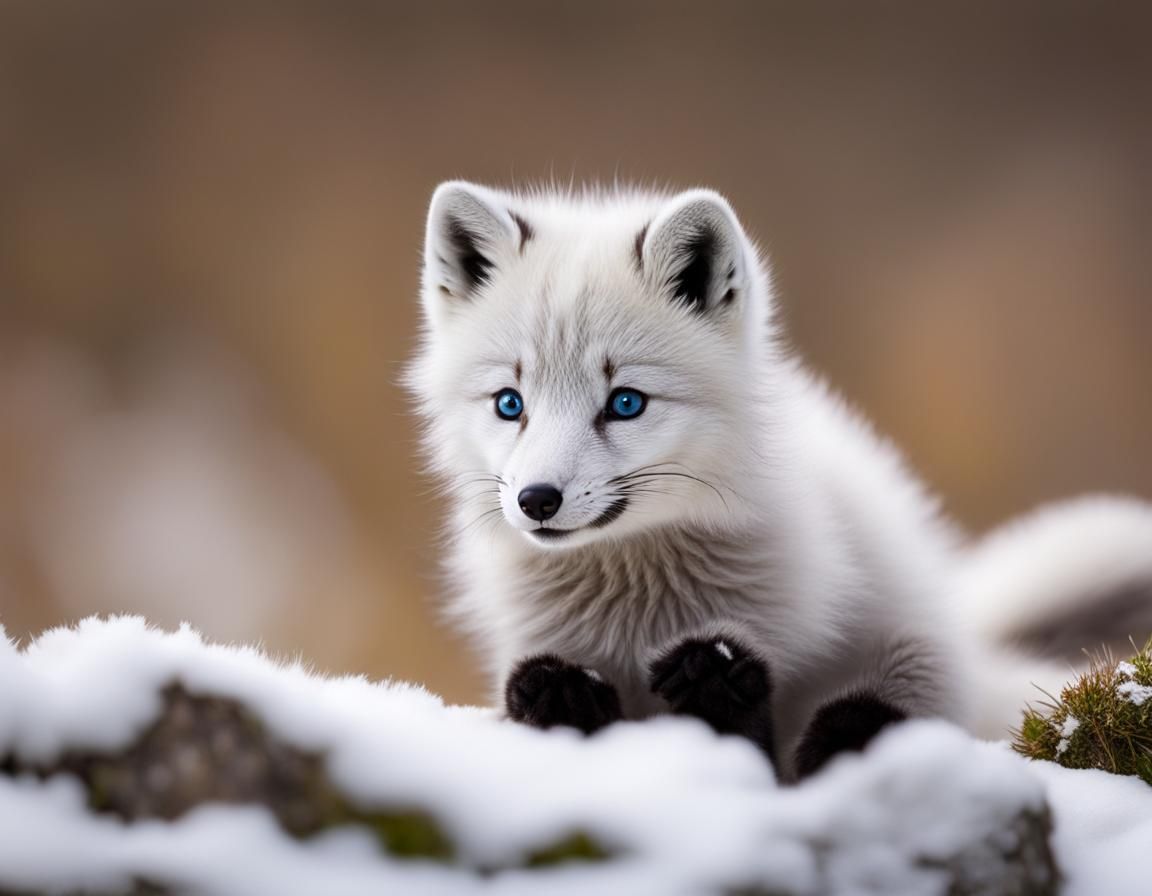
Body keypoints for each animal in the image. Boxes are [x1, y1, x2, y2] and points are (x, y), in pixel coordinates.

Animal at [407, 180, 1152, 780]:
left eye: (626, 402)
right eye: (509, 403)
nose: (537, 501)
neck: (646, 610)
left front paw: (715, 688)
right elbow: (540, 696)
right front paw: (569, 701)